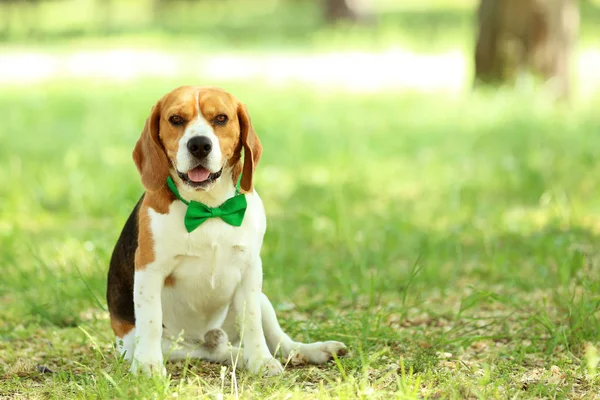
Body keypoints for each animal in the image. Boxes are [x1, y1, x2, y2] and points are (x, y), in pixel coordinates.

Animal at [105, 86, 344, 376]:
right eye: (176, 119)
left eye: (221, 118)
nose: (199, 145)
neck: (211, 207)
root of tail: (206, 335)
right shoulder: (149, 269)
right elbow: (150, 320)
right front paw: (147, 366)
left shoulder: (251, 268)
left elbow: (252, 322)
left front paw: (261, 360)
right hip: (161, 345)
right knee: (210, 351)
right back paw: (231, 353)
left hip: (263, 299)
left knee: (281, 341)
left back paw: (311, 351)